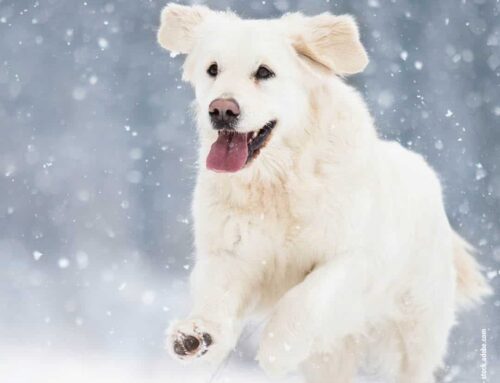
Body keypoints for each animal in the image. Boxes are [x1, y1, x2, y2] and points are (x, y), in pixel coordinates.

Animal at [157, 3, 492, 383]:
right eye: (213, 69)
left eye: (264, 72)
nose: (222, 110)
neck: (277, 182)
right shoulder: (229, 251)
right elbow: (215, 293)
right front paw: (196, 335)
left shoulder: (352, 258)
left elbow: (307, 298)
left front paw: (276, 349)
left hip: (415, 334)